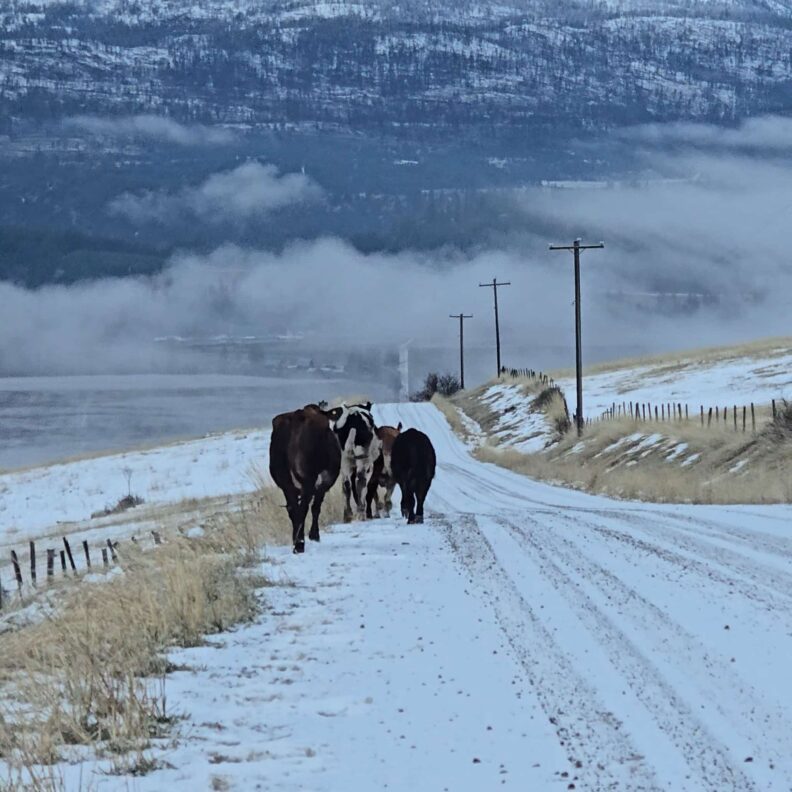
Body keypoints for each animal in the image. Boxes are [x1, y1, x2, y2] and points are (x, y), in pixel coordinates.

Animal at [269, 404, 341, 554]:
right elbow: (316, 507)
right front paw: (314, 535)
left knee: (293, 510)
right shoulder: (323, 482)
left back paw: (296, 542)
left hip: (286, 482)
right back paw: (300, 544)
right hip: (308, 479)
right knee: (303, 509)